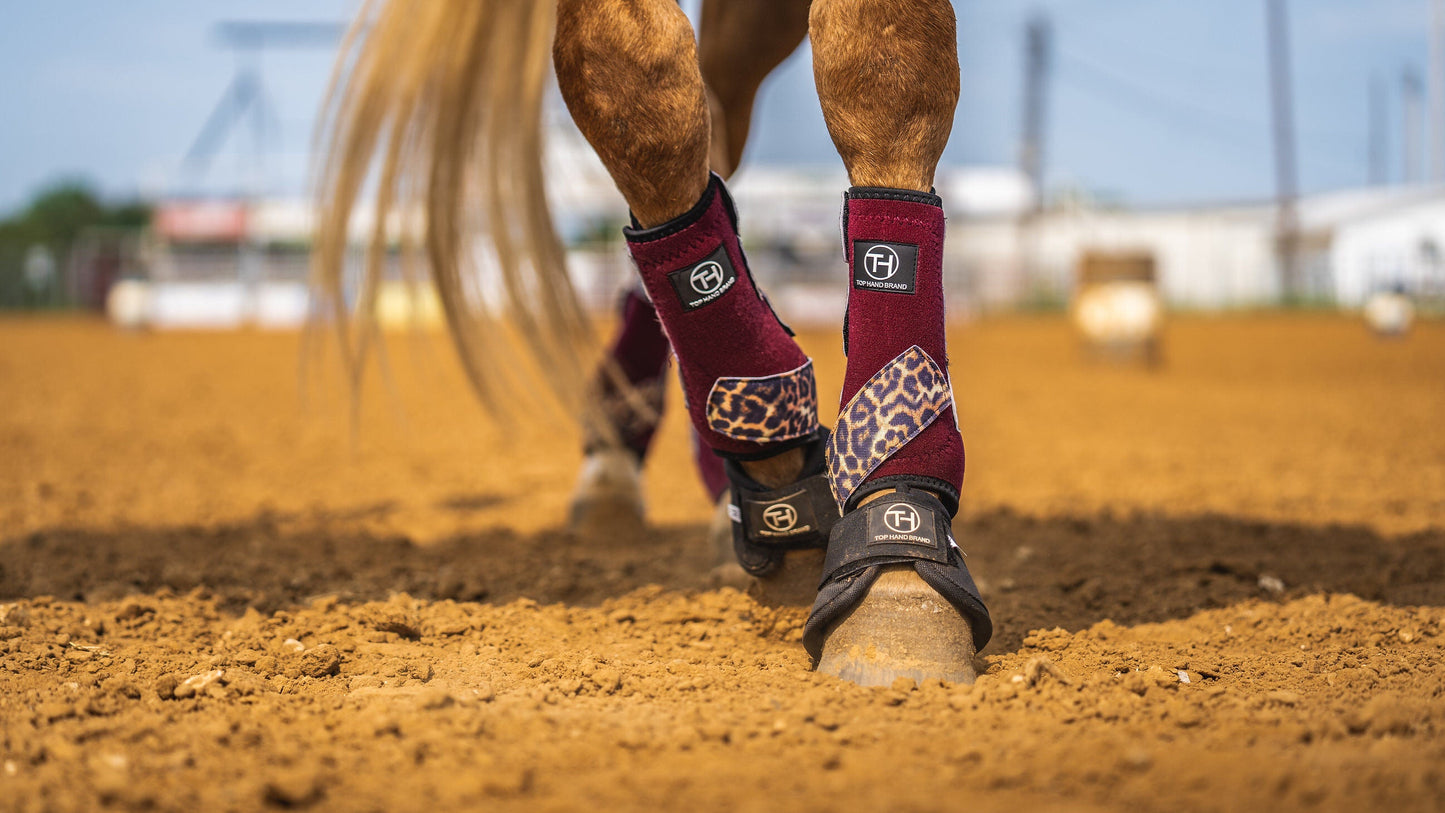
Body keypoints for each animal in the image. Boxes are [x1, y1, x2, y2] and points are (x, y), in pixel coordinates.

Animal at [313, 0, 994, 687]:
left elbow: (887, 82)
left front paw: (899, 577)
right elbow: (637, 88)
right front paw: (785, 509)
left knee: (724, 114)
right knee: (708, 130)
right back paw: (622, 469)